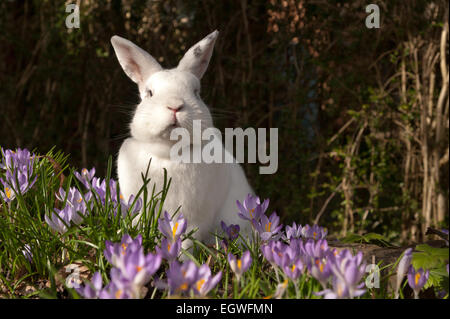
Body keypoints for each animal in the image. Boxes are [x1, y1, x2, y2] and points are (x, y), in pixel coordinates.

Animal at [110, 31, 253, 249]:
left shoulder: (194, 218)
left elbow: (186, 239)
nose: (175, 105)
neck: (169, 153)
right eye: (150, 93)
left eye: (196, 92)